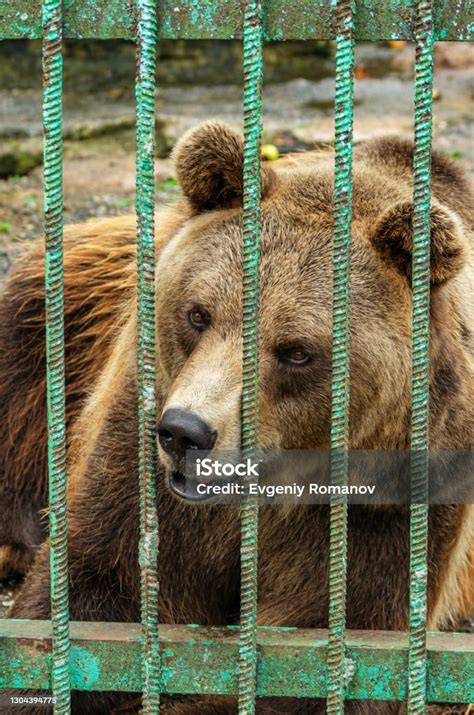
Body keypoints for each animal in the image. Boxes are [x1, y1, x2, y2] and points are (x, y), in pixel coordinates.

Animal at [0, 121, 473, 714]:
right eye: (198, 314)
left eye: (296, 351)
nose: (186, 433)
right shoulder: (139, 448)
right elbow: (95, 600)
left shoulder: (394, 493)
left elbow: (330, 659)